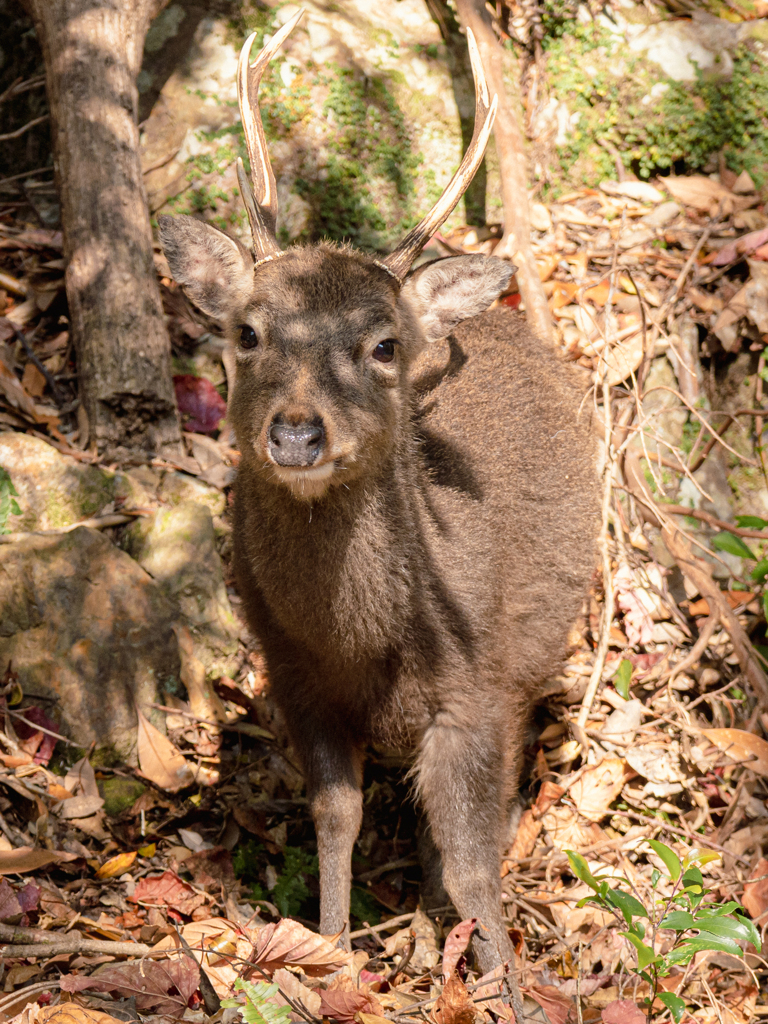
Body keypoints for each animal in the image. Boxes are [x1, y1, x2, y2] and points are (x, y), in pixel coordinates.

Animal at [159, 12, 598, 1019]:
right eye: (247, 331)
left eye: (384, 345)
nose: (296, 431)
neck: (362, 638)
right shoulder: (294, 677)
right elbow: (336, 816)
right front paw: (323, 951)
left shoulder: (476, 687)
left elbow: (475, 862)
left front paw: (508, 987)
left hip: (536, 646)